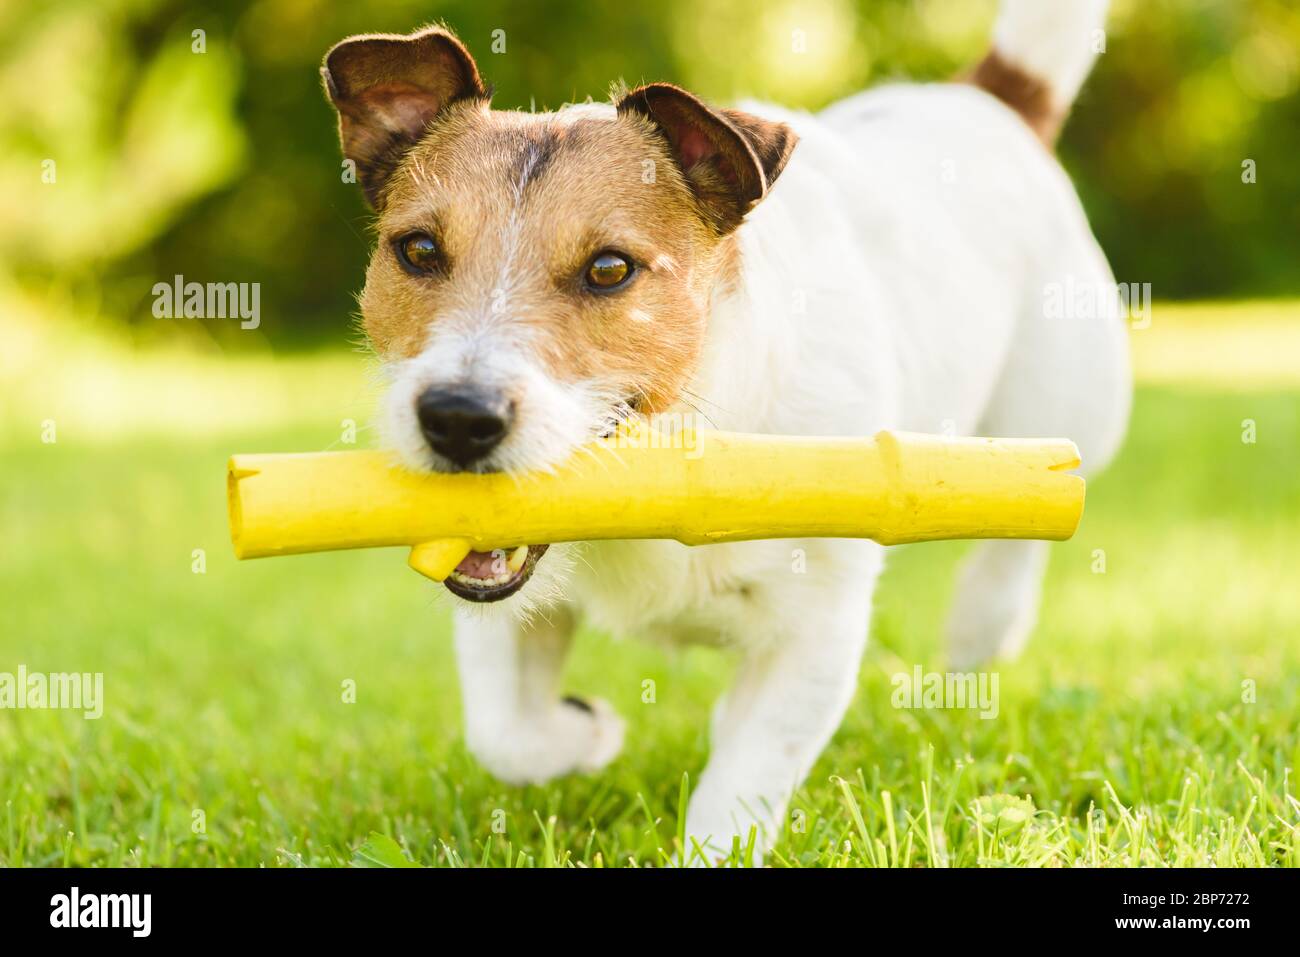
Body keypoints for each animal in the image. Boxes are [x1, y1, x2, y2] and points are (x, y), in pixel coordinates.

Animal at [322, 0, 1128, 863]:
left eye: (610, 269)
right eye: (417, 249)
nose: (457, 418)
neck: (673, 451)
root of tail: (987, 100)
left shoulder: (816, 628)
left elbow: (742, 781)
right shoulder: (505, 606)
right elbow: (505, 733)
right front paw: (586, 732)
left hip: (1064, 411)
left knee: (1028, 516)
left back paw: (985, 624)